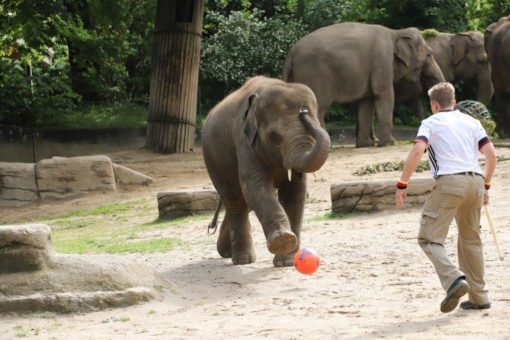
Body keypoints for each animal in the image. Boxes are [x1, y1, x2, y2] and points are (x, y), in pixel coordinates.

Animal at [201, 75, 332, 266]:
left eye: (315, 126)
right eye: (275, 138)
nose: (303, 112)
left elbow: (295, 190)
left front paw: (286, 262)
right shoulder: (243, 140)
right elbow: (255, 185)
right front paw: (283, 239)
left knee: (243, 201)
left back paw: (226, 252)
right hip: (213, 161)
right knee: (234, 200)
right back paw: (242, 260)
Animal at [284, 21, 444, 147]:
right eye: (429, 54)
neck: (396, 32)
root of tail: (291, 54)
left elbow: (367, 102)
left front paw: (365, 144)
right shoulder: (383, 60)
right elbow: (384, 93)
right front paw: (390, 143)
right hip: (315, 75)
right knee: (318, 108)